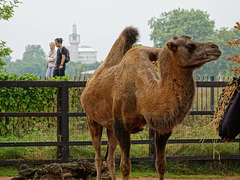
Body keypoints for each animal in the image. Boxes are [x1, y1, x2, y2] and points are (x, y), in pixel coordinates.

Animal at [80, 27, 221, 180]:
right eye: (190, 46)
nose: (216, 47)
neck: (142, 94)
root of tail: (89, 82)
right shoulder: (121, 127)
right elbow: (125, 166)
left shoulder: (162, 128)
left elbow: (161, 164)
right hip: (92, 119)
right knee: (98, 157)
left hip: (110, 126)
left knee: (109, 158)